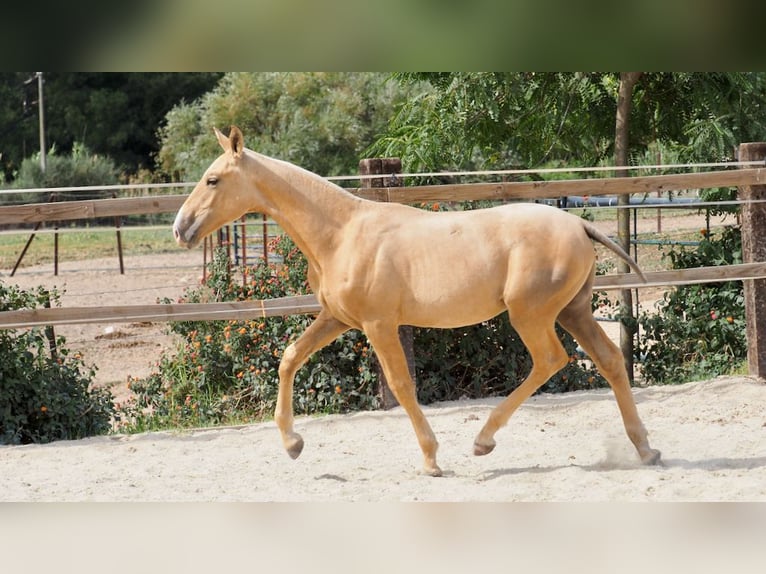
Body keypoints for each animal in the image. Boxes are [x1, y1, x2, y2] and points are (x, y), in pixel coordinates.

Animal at [172, 126, 660, 476]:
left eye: (212, 179)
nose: (180, 228)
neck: (341, 233)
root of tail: (579, 225)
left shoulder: (379, 325)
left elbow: (402, 384)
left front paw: (430, 459)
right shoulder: (337, 318)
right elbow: (290, 357)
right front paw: (293, 445)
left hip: (532, 316)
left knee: (551, 360)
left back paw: (483, 440)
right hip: (573, 312)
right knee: (610, 360)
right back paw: (645, 448)